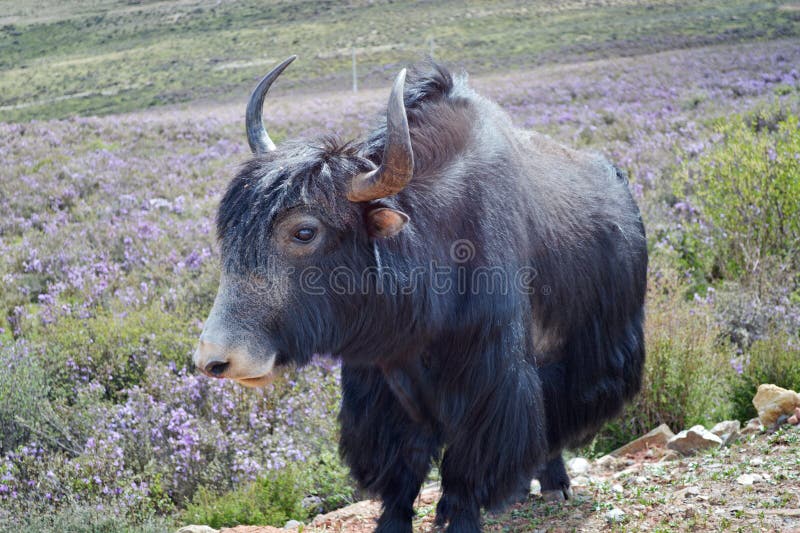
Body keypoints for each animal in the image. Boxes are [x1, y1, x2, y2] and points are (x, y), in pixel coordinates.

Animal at [193, 55, 647, 533]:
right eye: (230, 229)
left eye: (304, 231)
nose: (214, 360)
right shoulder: (383, 386)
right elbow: (402, 468)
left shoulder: (489, 381)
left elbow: (467, 467)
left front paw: (462, 518)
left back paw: (552, 486)